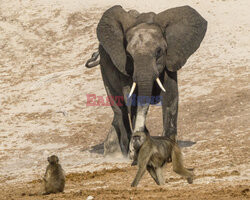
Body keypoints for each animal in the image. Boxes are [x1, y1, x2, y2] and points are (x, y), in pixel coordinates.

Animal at [86, 5, 207, 156]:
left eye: (159, 52)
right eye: (128, 55)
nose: (136, 139)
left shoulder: (170, 59)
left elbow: (171, 95)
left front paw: (169, 147)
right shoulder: (123, 66)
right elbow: (131, 98)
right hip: (104, 67)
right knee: (119, 108)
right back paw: (122, 152)